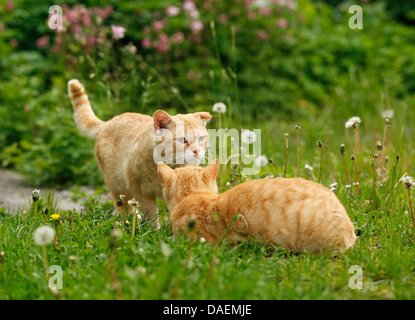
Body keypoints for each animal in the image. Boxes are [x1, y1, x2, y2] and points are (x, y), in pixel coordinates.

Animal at [68, 78, 213, 226]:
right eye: (182, 140)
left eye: (201, 138)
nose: (197, 151)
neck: (169, 165)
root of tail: (108, 122)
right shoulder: (141, 192)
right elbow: (151, 216)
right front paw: (154, 229)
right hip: (118, 185)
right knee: (122, 207)